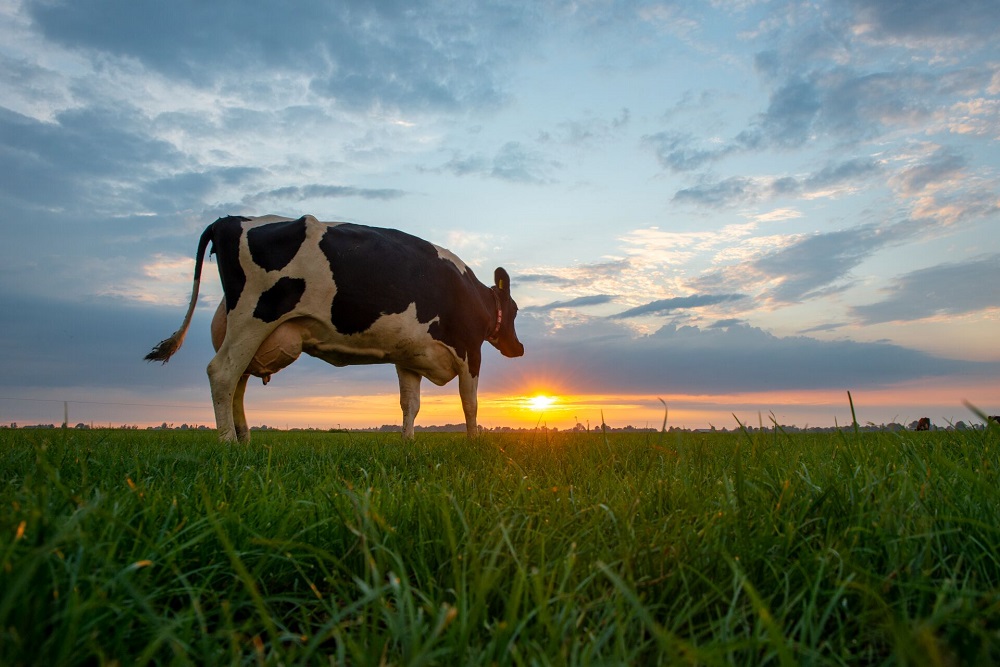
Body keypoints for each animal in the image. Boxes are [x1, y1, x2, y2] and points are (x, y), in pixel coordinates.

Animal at [148, 215, 528, 444]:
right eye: (515, 310)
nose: (520, 349)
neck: (475, 295)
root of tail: (229, 220)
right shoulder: (470, 351)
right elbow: (470, 402)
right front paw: (473, 443)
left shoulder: (409, 357)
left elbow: (410, 404)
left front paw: (407, 443)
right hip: (254, 316)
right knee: (222, 374)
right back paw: (227, 442)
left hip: (245, 329)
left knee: (237, 383)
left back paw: (245, 441)